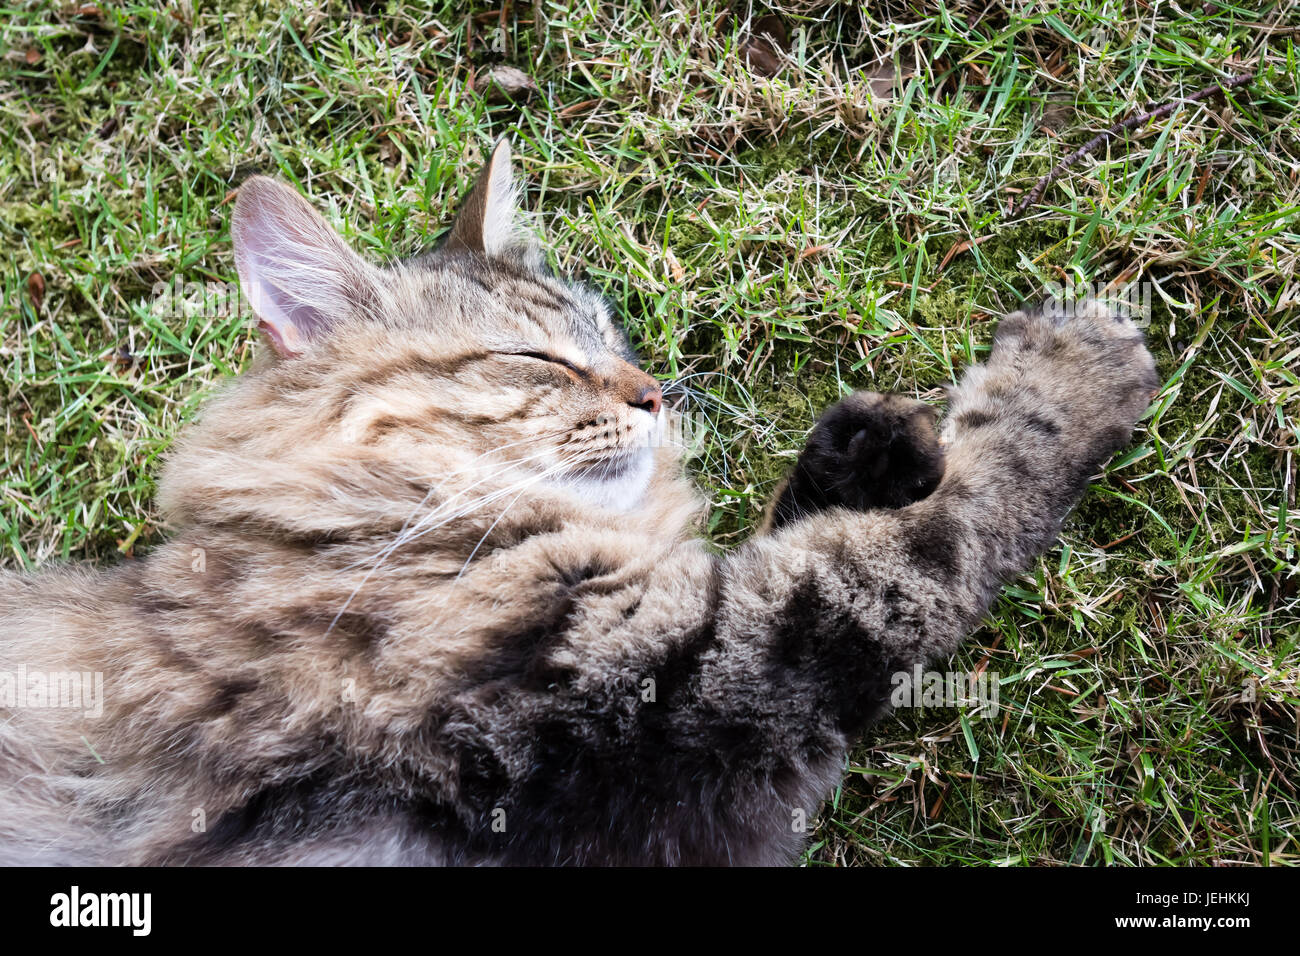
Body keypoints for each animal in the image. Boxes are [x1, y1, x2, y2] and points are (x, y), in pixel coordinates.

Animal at [0, 141, 1159, 868]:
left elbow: (821, 515)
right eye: (538, 360)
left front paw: (869, 447)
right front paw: (1074, 371)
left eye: (613, 341)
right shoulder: (699, 675)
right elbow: (955, 517)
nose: (654, 395)